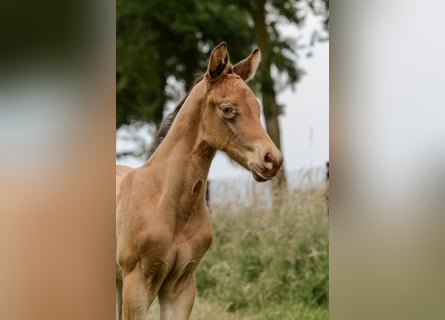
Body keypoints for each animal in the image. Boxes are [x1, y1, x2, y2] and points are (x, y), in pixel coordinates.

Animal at [114, 43, 280, 320]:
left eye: (257, 108)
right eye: (227, 109)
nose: (272, 160)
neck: (165, 201)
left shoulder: (181, 286)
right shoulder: (136, 284)